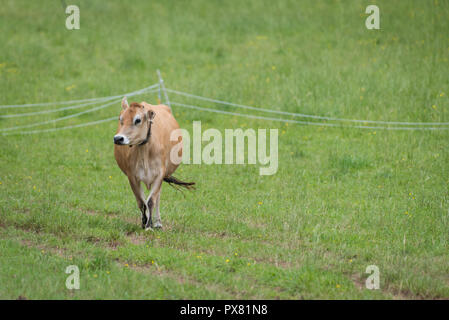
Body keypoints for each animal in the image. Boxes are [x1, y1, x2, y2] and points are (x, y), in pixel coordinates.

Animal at [114, 97, 192, 230]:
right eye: (121, 119)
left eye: (138, 120)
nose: (118, 138)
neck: (145, 152)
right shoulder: (132, 176)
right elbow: (141, 202)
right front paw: (144, 222)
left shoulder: (159, 175)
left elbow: (151, 201)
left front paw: (149, 225)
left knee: (157, 198)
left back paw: (158, 222)